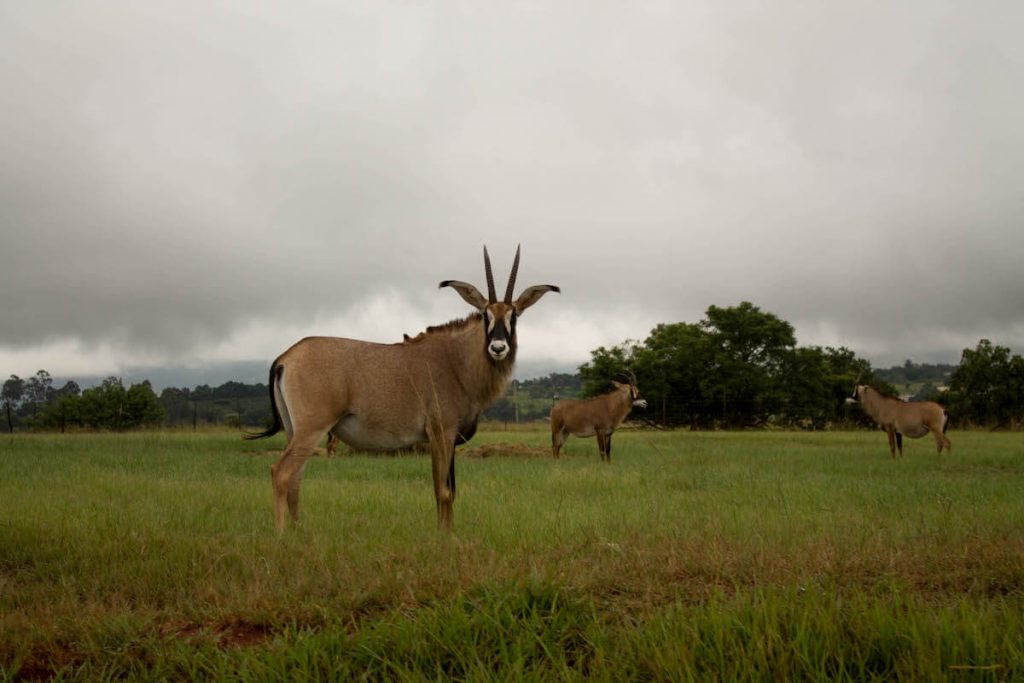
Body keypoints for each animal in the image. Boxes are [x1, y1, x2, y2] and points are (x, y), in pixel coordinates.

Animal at [246, 246, 561, 532]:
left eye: (514, 315)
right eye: (485, 315)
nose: (498, 348)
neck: (457, 361)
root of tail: (286, 357)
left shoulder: (447, 440)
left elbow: (449, 490)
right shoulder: (441, 434)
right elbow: (443, 491)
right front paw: (444, 538)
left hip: (296, 431)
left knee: (296, 478)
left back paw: (300, 532)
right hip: (311, 428)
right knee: (281, 472)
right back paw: (282, 536)